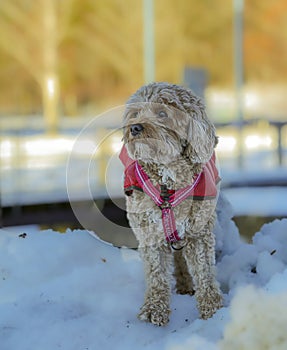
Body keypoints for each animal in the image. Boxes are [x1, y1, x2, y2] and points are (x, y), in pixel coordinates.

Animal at [119, 81, 223, 326]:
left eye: (163, 113)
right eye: (136, 113)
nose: (134, 128)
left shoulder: (199, 232)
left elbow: (204, 271)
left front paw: (212, 309)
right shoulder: (150, 232)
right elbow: (156, 273)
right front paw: (154, 309)